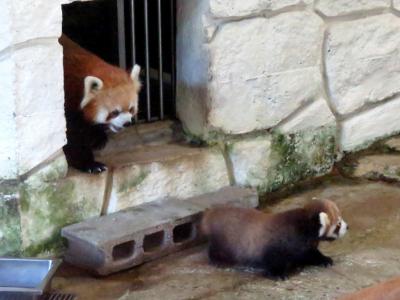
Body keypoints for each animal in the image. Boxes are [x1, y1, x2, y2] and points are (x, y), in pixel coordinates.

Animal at [58, 34, 141, 173]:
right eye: (114, 112)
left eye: (131, 109)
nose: (127, 123)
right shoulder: (67, 104)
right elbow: (72, 139)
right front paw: (90, 164)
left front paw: (98, 137)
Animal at [202, 199, 348, 278]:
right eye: (338, 224)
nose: (348, 227)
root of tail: (210, 216)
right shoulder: (275, 247)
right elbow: (273, 261)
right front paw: (277, 274)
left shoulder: (306, 248)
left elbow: (311, 255)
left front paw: (324, 259)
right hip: (223, 242)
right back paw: (218, 260)